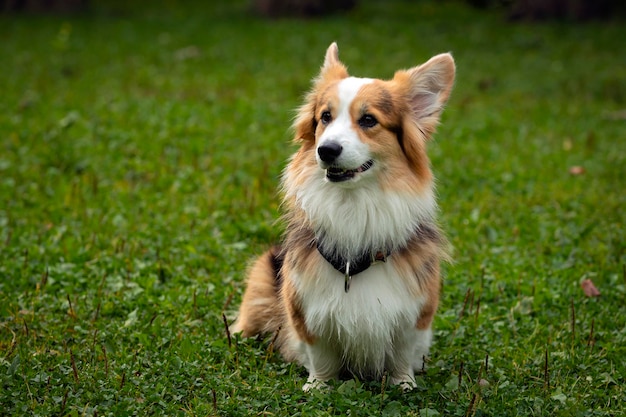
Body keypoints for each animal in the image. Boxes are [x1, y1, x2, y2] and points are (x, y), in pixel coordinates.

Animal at [232, 43, 456, 390]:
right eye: (325, 117)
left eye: (368, 120)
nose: (326, 150)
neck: (354, 204)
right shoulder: (306, 308)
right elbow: (320, 356)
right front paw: (317, 387)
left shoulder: (414, 313)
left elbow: (402, 355)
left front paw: (404, 385)